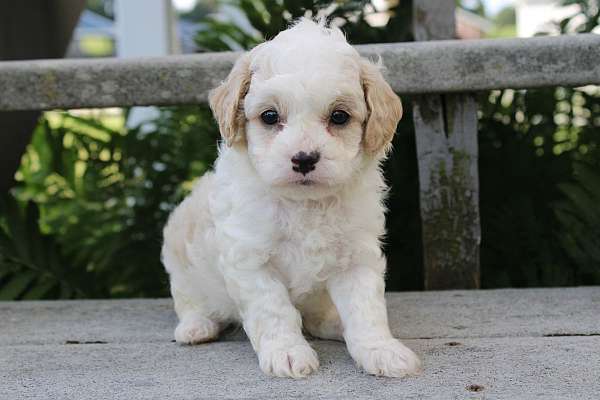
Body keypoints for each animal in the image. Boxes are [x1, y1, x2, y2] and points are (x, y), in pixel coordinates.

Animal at [161, 18, 422, 380]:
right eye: (270, 116)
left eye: (339, 117)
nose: (304, 159)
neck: (304, 203)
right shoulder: (250, 260)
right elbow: (274, 309)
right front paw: (287, 353)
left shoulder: (356, 256)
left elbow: (365, 309)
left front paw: (380, 350)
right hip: (180, 260)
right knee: (188, 300)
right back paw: (196, 326)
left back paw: (333, 323)